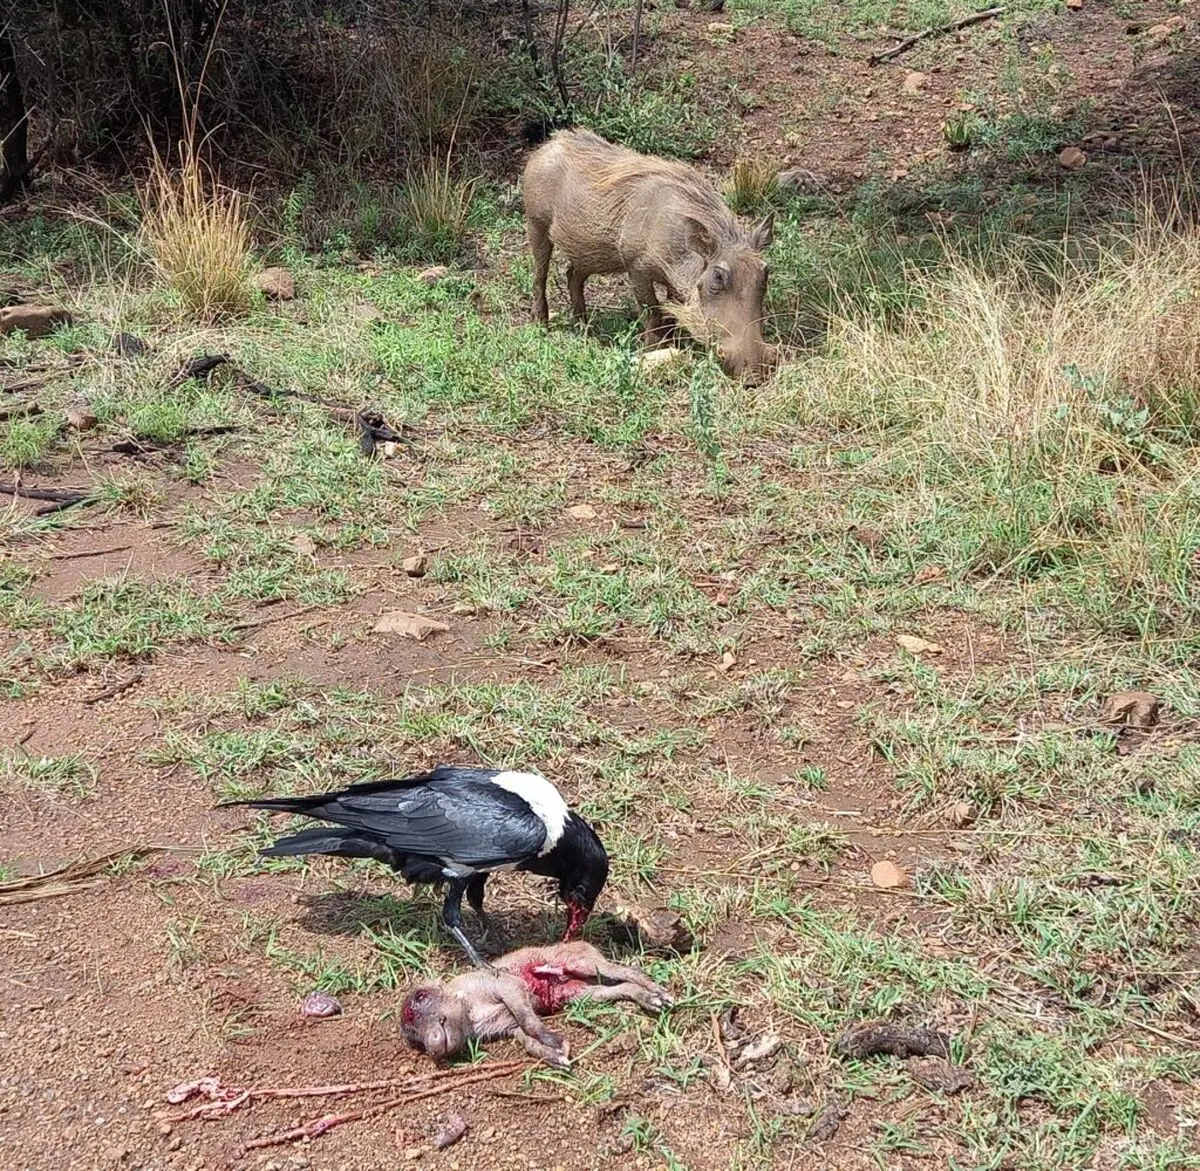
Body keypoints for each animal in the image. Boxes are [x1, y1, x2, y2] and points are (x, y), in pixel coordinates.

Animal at [399, 941, 673, 1068]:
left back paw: (661, 994)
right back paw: (651, 1000)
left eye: (420, 997)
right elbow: (528, 1040)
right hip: (578, 992)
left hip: (582, 961)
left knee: (628, 971)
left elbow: (528, 1020)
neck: (470, 1013)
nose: (433, 1049)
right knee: (620, 987)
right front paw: (557, 1057)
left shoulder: (503, 986)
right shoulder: (508, 1027)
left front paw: (557, 1043)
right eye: (413, 1035)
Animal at [523, 128, 777, 383]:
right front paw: (652, 350)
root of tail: (549, 143)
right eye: (717, 277)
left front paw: (673, 344)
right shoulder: (636, 269)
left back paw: (584, 327)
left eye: (765, 273)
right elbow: (653, 311)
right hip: (537, 225)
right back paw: (541, 323)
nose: (754, 375)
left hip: (591, 253)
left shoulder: (675, 280)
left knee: (573, 275)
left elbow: (672, 314)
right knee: (540, 274)